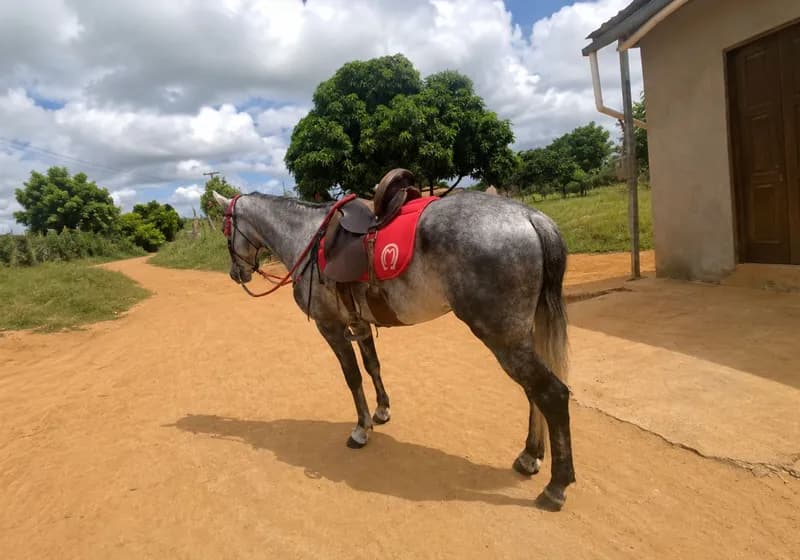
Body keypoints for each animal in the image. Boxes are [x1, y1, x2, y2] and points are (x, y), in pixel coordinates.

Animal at [210, 183, 575, 509]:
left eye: (226, 229)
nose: (235, 274)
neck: (306, 237)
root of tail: (528, 216)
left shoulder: (332, 328)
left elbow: (352, 377)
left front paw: (361, 430)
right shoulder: (359, 323)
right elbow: (373, 366)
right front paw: (382, 410)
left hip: (503, 338)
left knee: (552, 394)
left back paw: (556, 486)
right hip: (522, 335)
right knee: (534, 394)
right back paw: (530, 456)